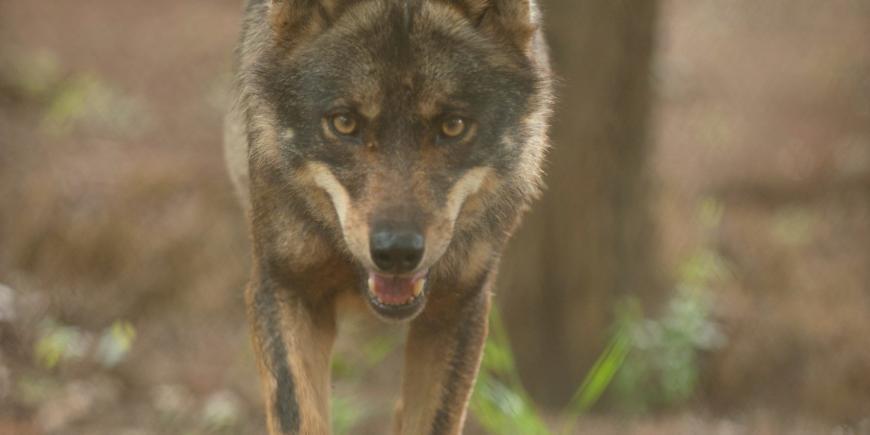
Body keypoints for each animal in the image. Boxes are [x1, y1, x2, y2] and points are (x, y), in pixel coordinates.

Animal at [224, 0, 552, 433]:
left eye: (453, 126)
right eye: (344, 123)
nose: (397, 252)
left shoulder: (459, 306)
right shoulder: (284, 286)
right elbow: (298, 414)